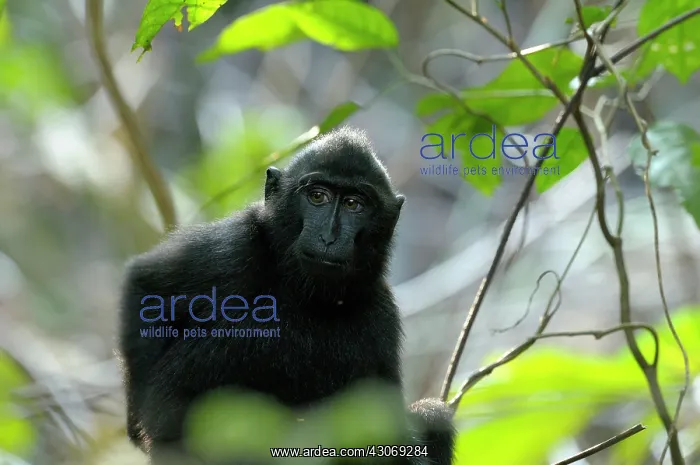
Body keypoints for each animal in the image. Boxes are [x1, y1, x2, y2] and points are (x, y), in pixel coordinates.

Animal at [118, 127, 455, 464]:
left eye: (353, 204)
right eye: (317, 197)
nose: (328, 237)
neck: (303, 292)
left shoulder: (381, 311)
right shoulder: (232, 248)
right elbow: (146, 287)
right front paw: (141, 429)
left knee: (431, 415)